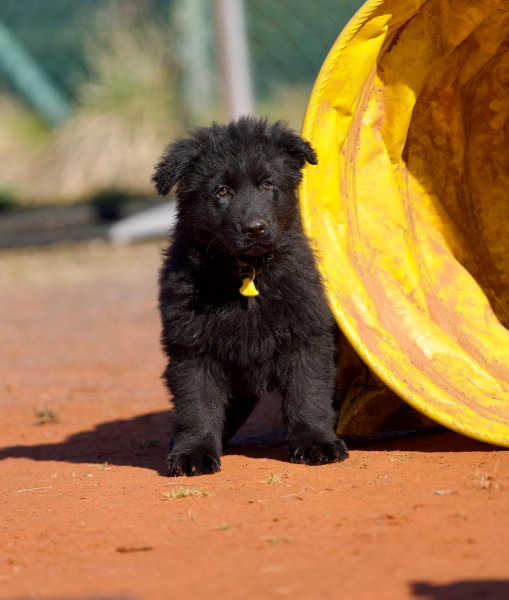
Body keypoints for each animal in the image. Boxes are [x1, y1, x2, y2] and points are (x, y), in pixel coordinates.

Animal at [152, 117, 348, 476]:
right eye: (222, 191)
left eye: (268, 184)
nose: (255, 228)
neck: (247, 273)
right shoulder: (192, 347)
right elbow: (196, 404)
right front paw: (192, 453)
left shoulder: (306, 335)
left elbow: (308, 393)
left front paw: (316, 442)